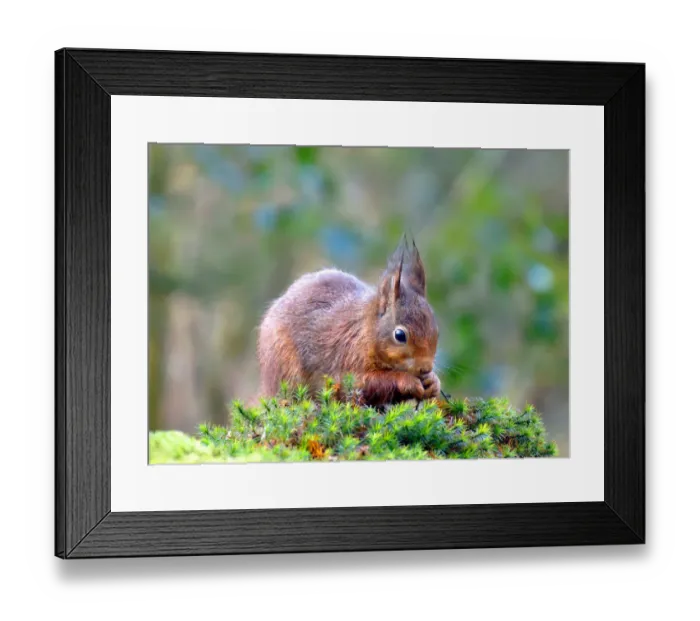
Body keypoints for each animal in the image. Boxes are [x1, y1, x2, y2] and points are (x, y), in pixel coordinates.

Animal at [256, 234, 441, 406]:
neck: (366, 331)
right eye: (400, 335)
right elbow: (366, 382)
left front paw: (433, 381)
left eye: (436, 330)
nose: (426, 368)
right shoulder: (348, 360)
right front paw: (407, 381)